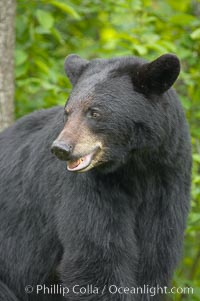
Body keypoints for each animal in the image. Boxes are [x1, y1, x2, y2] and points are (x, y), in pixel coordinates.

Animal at [0, 52, 191, 298]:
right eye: (67, 112)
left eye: (94, 112)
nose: (61, 149)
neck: (134, 166)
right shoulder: (91, 187)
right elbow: (97, 255)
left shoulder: (168, 179)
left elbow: (155, 256)